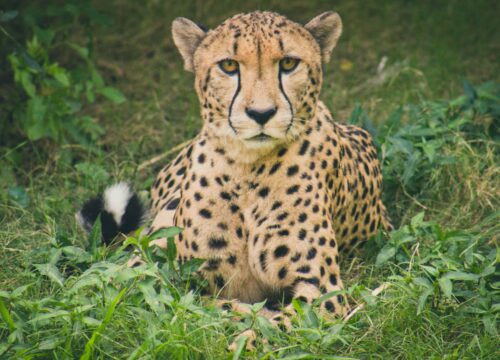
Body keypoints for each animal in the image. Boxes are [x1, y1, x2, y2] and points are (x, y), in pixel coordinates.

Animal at [78, 10, 392, 330]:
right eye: (229, 65)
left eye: (288, 63)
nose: (261, 114)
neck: (247, 168)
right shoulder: (161, 278)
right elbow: (199, 304)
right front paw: (253, 313)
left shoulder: (323, 291)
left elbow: (270, 327)